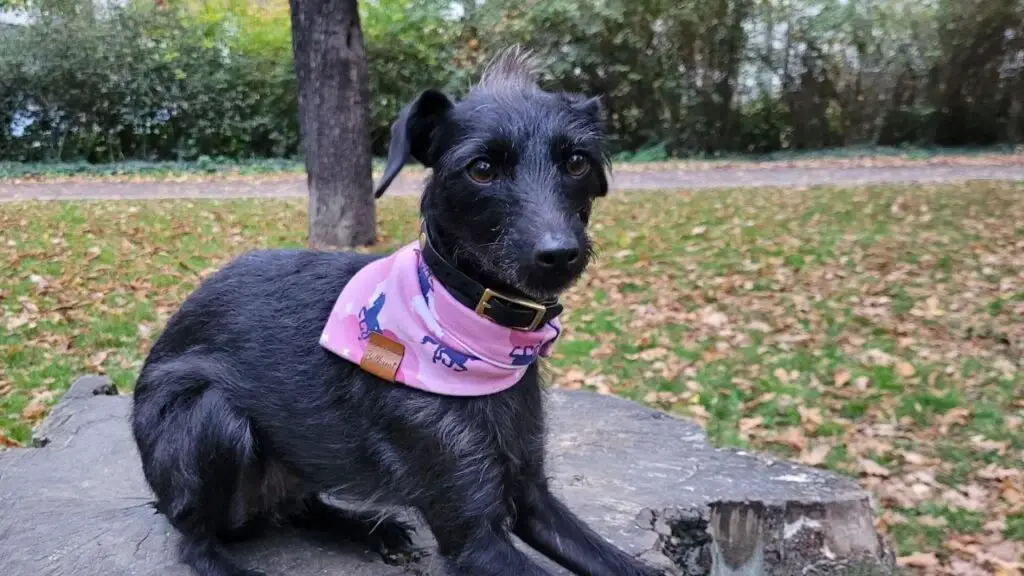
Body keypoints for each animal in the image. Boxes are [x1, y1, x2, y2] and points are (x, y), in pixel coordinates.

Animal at [130, 45, 663, 573]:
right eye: (482, 169)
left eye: (576, 162)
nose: (558, 254)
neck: (472, 326)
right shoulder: (473, 537)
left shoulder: (531, 494)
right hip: (210, 418)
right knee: (193, 538)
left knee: (299, 508)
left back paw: (366, 528)